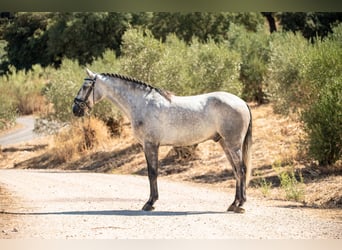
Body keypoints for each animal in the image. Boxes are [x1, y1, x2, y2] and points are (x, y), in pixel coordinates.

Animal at [73, 68, 252, 213]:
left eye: (85, 87)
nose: (75, 109)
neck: (142, 103)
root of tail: (242, 102)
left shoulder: (150, 145)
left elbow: (152, 173)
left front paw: (150, 203)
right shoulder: (148, 146)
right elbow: (152, 172)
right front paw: (151, 201)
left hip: (233, 144)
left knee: (241, 170)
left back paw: (241, 204)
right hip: (225, 144)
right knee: (236, 171)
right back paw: (234, 204)